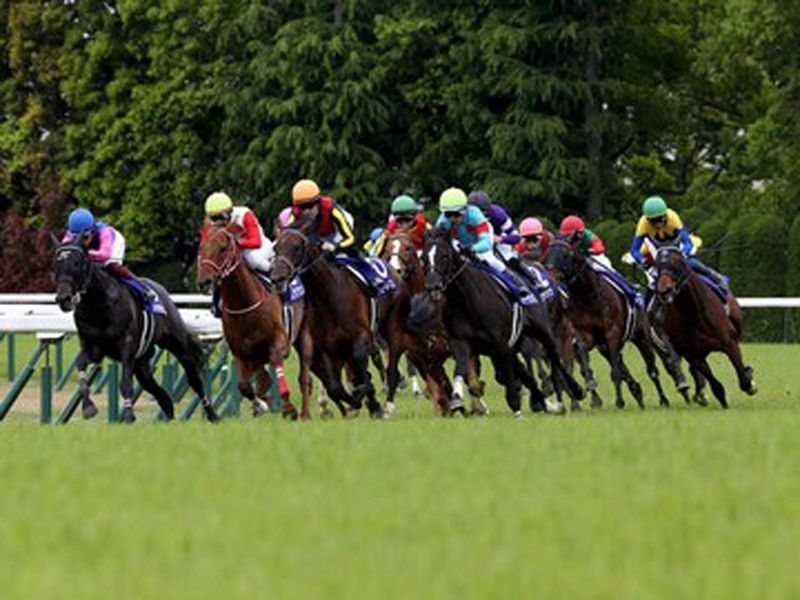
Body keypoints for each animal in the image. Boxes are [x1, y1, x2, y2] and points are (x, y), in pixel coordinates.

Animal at [52, 239, 219, 422]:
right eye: (56, 264)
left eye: (77, 263)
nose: (64, 299)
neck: (98, 305)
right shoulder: (92, 348)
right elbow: (81, 370)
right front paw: (88, 408)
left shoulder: (128, 347)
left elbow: (125, 383)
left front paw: (128, 416)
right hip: (142, 361)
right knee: (155, 388)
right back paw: (168, 412)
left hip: (177, 344)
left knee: (194, 379)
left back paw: (212, 414)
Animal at [195, 219, 314, 418]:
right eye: (201, 247)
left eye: (222, 248)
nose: (204, 282)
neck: (244, 304)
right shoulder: (241, 352)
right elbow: (244, 386)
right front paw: (262, 404)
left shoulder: (279, 342)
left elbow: (277, 362)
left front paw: (287, 408)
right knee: (264, 379)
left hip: (303, 336)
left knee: (304, 378)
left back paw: (304, 413)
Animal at [412, 227, 580, 414]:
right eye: (423, 258)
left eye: (444, 256)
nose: (432, 286)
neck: (466, 300)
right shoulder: (461, 342)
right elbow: (461, 368)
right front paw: (457, 398)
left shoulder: (500, 343)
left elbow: (509, 375)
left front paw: (516, 406)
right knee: (527, 372)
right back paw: (543, 401)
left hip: (542, 330)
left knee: (554, 356)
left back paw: (573, 391)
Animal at [544, 237, 676, 410]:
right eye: (547, 254)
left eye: (567, 254)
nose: (551, 277)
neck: (587, 296)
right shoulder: (584, 335)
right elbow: (581, 357)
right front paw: (590, 384)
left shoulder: (611, 333)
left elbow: (615, 372)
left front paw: (619, 401)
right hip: (604, 347)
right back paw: (637, 392)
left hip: (642, 338)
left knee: (652, 369)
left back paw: (663, 399)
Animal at [648, 245, 756, 408]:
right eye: (657, 266)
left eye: (677, 264)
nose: (664, 290)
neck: (693, 313)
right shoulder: (693, 354)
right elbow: (715, 385)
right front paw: (722, 402)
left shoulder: (730, 343)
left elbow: (743, 377)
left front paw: (750, 381)